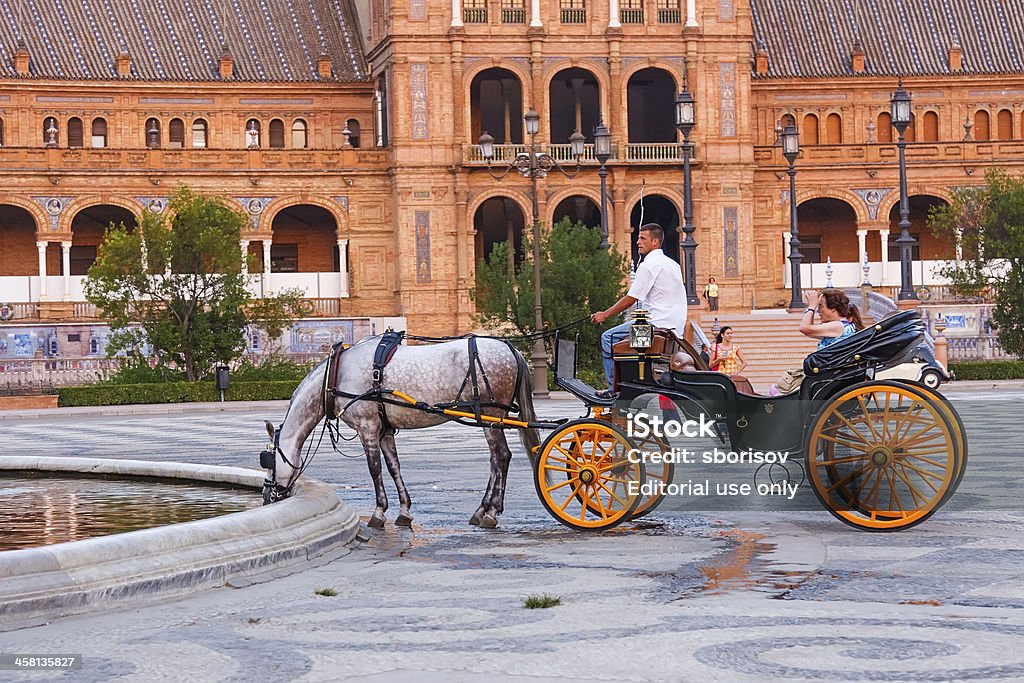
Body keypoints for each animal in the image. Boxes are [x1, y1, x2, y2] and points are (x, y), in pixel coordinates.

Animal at [260, 335, 540, 528]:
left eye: (268, 460)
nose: (266, 496)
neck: (336, 375)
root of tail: (510, 348)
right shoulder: (385, 431)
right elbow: (394, 467)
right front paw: (404, 510)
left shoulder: (368, 428)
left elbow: (375, 469)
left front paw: (378, 511)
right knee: (495, 460)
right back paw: (482, 510)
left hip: (491, 415)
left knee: (501, 457)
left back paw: (491, 512)